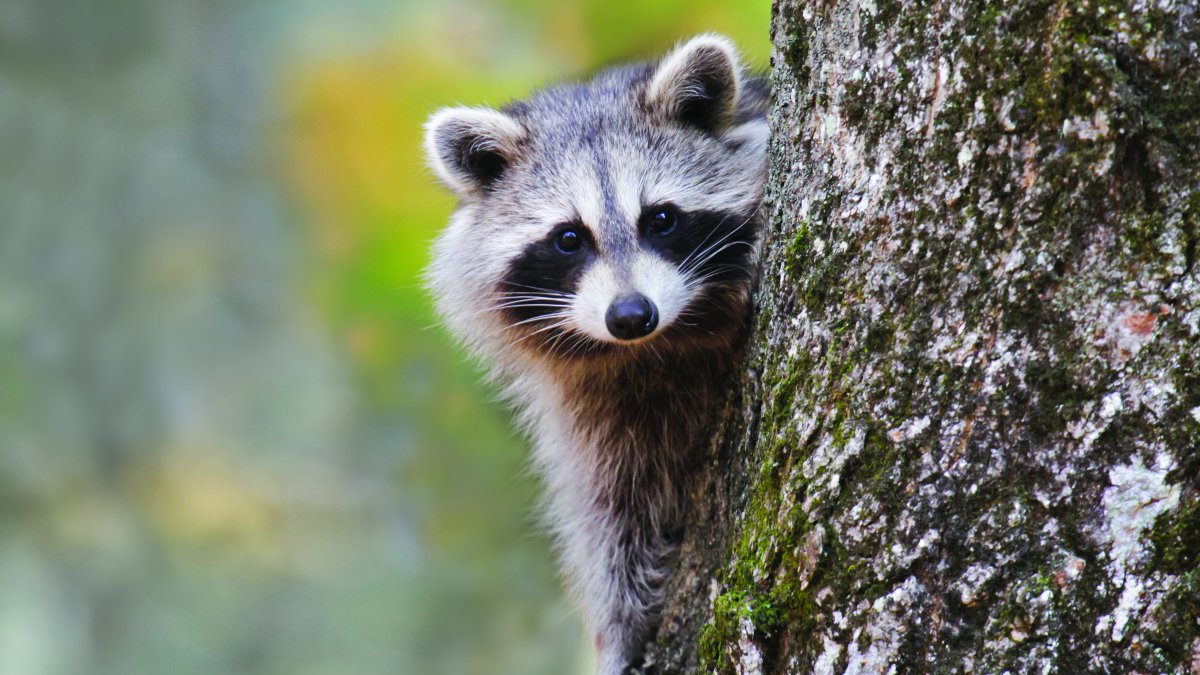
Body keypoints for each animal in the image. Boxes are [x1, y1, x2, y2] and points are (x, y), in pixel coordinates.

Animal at [424, 34, 768, 667]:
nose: (631, 316)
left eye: (661, 219)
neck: (657, 348)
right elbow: (610, 511)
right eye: (568, 238)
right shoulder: (594, 407)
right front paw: (622, 624)